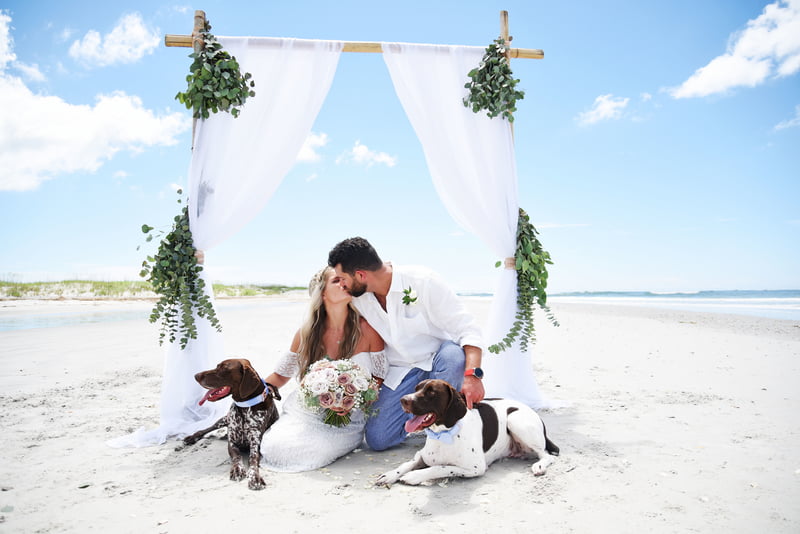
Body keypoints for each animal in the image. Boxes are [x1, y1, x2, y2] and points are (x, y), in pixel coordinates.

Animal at [184, 360, 282, 494]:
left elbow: (253, 459)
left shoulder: (255, 444)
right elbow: (237, 457)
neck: (244, 408)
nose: (196, 376)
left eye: (223, 368)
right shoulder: (232, 442)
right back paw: (191, 437)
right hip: (223, 420)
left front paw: (255, 478)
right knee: (206, 429)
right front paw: (237, 469)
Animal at [376, 378, 560, 488]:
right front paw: (390, 475)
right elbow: (406, 464)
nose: (403, 400)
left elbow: (440, 468)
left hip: (515, 420)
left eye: (431, 392)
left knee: (546, 455)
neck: (444, 434)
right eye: (416, 388)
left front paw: (414, 475)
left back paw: (539, 466)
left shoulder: (475, 468)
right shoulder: (422, 455)